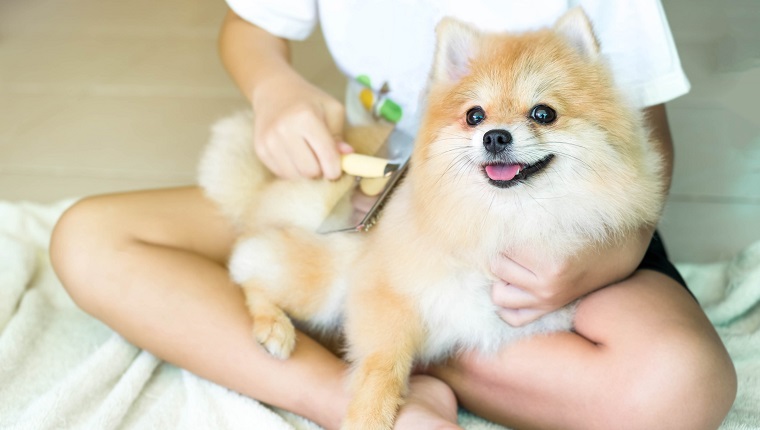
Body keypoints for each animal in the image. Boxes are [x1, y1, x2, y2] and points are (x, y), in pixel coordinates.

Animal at [200, 6, 664, 430]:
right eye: (475, 115)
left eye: (543, 113)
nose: (495, 136)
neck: (502, 218)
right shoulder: (382, 288)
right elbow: (382, 362)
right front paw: (368, 415)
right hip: (324, 272)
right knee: (249, 265)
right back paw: (274, 327)